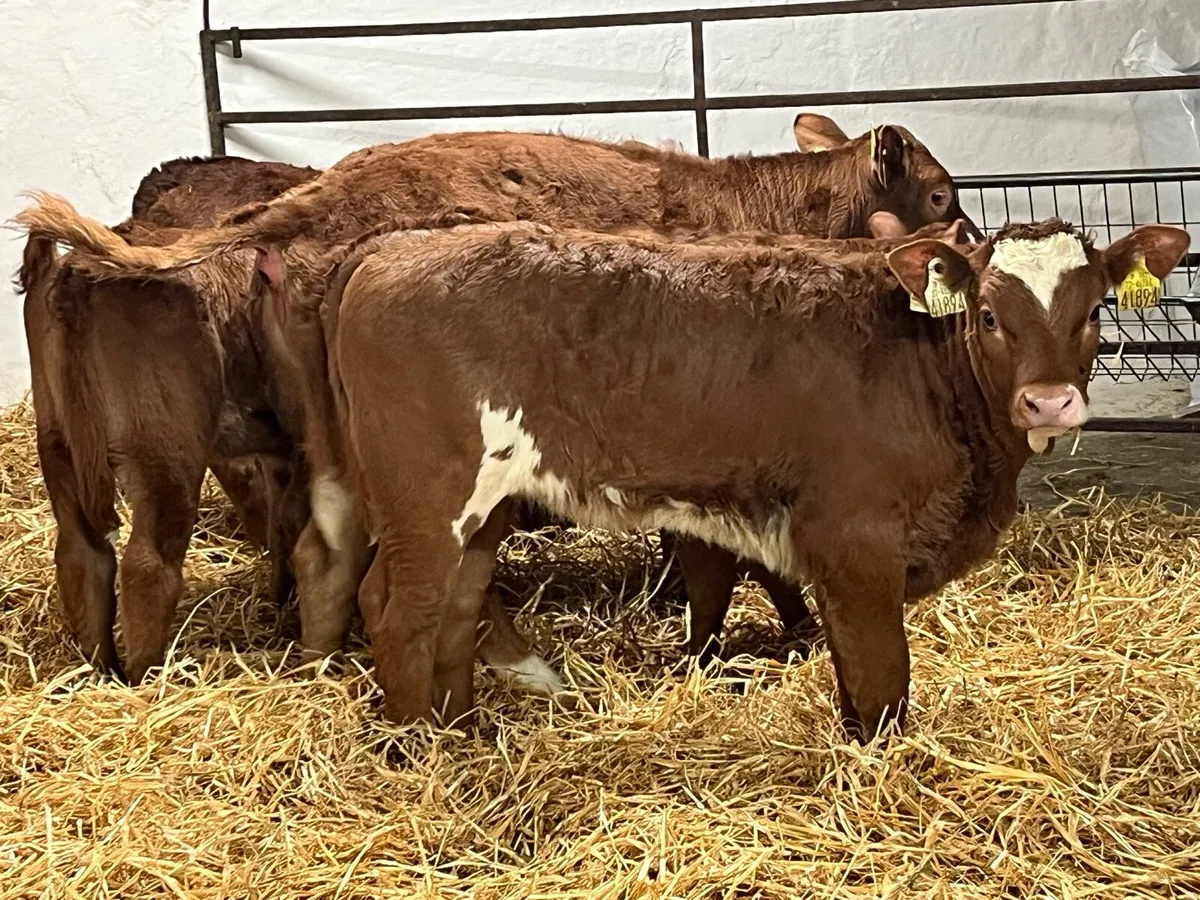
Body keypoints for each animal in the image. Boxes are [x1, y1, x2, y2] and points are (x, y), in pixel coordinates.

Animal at [319, 218, 1189, 739]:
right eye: (987, 316)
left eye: (1095, 311)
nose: (1050, 400)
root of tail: (389, 249)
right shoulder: (854, 542)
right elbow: (883, 681)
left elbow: (852, 675)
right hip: (427, 500)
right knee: (398, 611)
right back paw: (421, 753)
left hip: (483, 509)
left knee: (456, 608)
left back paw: (460, 731)